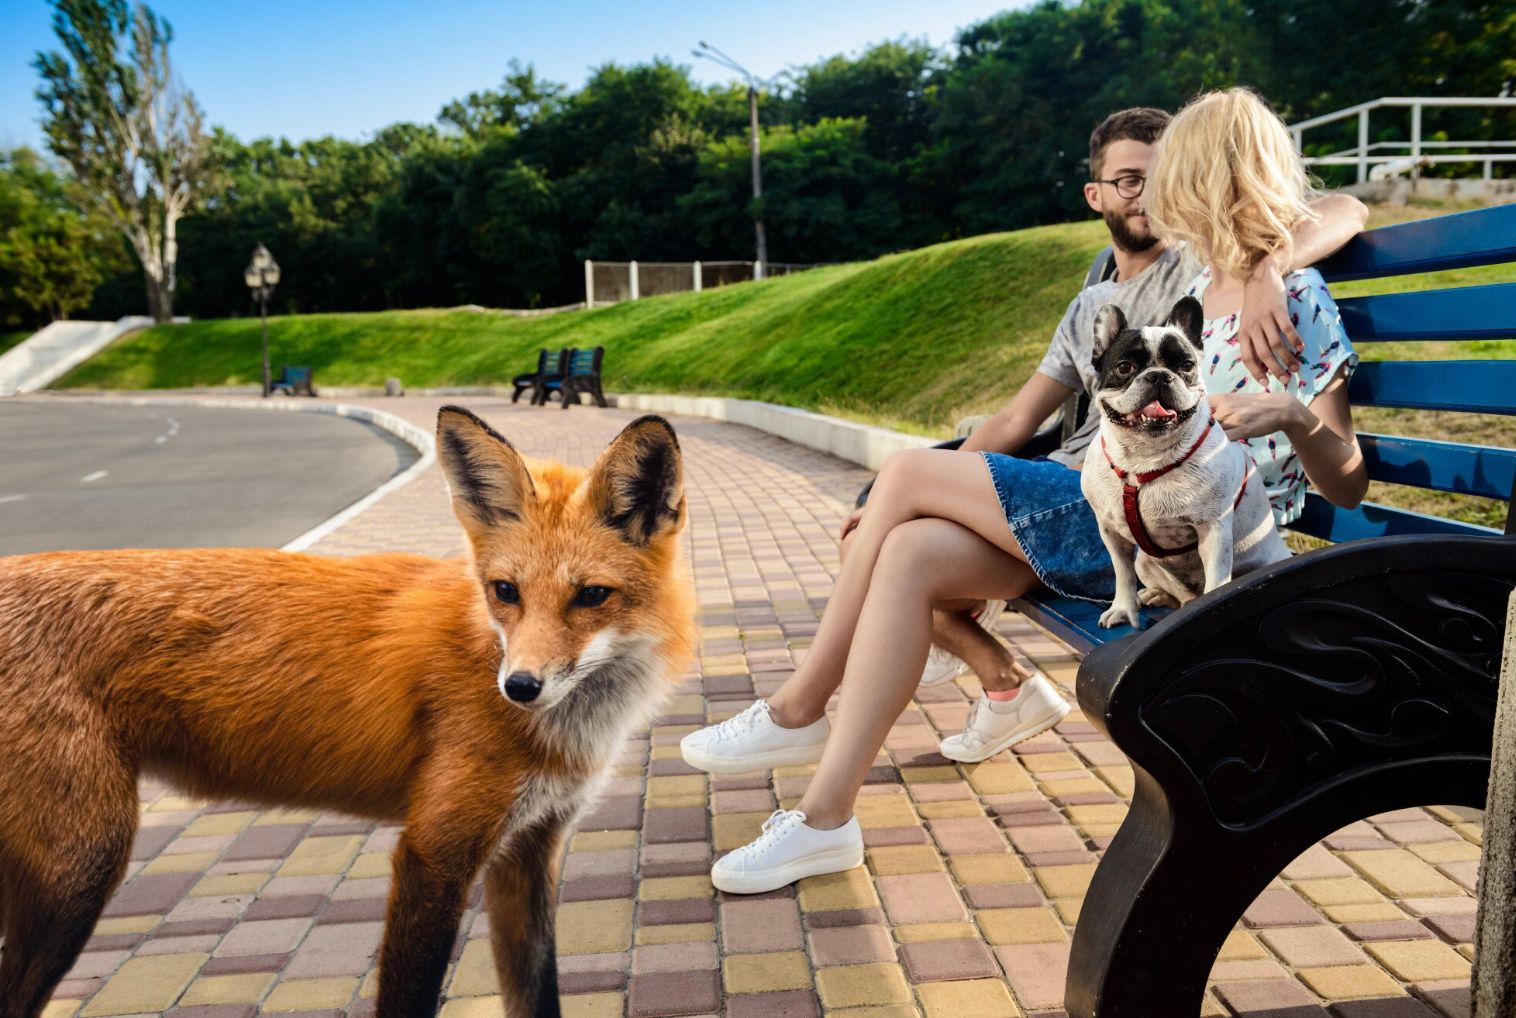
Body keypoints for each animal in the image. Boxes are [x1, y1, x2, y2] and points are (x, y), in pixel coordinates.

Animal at [0, 407, 695, 1018]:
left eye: (592, 596)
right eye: (506, 591)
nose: (519, 686)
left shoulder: (529, 849)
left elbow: (538, 996)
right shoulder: (433, 853)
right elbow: (408, 1000)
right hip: (81, 868)